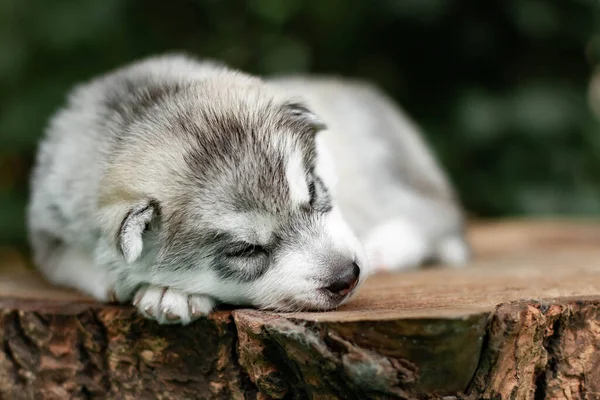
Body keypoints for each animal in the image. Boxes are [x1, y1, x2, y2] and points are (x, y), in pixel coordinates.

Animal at [28, 53, 468, 324]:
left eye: (313, 192)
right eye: (245, 250)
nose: (347, 276)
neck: (139, 108)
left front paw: (171, 293)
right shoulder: (48, 224)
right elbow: (69, 259)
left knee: (433, 213)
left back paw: (384, 247)